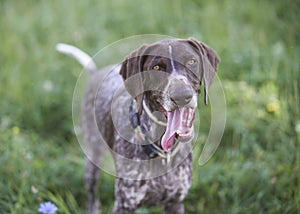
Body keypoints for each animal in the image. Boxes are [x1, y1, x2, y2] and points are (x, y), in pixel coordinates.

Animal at [56, 37, 220, 213]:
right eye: (156, 67)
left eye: (191, 61)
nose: (182, 96)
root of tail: (97, 73)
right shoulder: (124, 205)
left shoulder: (175, 203)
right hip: (93, 158)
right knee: (93, 195)